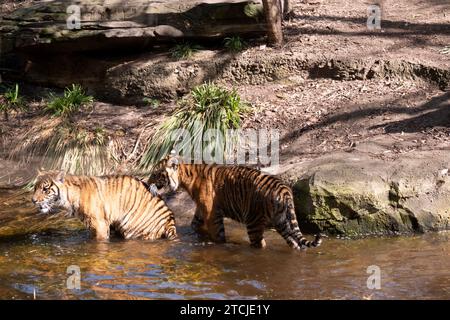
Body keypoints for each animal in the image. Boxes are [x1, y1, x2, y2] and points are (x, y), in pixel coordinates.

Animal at [31, 170, 176, 240]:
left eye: (45, 189)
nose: (33, 200)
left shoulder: (99, 223)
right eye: (35, 188)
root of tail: (170, 222)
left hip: (133, 227)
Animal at [149, 153, 322, 250]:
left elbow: (218, 235)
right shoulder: (201, 210)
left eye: (156, 174)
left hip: (253, 221)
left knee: (260, 244)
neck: (186, 177)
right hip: (281, 222)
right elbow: (195, 224)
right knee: (294, 242)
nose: (147, 181)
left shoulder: (211, 213)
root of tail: (283, 188)